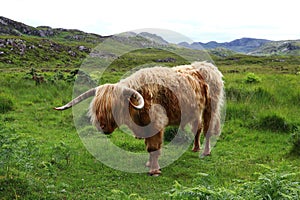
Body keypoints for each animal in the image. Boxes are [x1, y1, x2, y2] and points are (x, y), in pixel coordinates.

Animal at [55, 61, 224, 176]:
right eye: (96, 108)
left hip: (211, 108)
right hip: (196, 111)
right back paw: (195, 148)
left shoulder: (156, 124)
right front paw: (149, 163)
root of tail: (206, 65)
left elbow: (153, 147)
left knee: (207, 130)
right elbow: (148, 146)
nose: (102, 127)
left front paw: (154, 170)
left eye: (114, 108)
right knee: (198, 128)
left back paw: (206, 151)